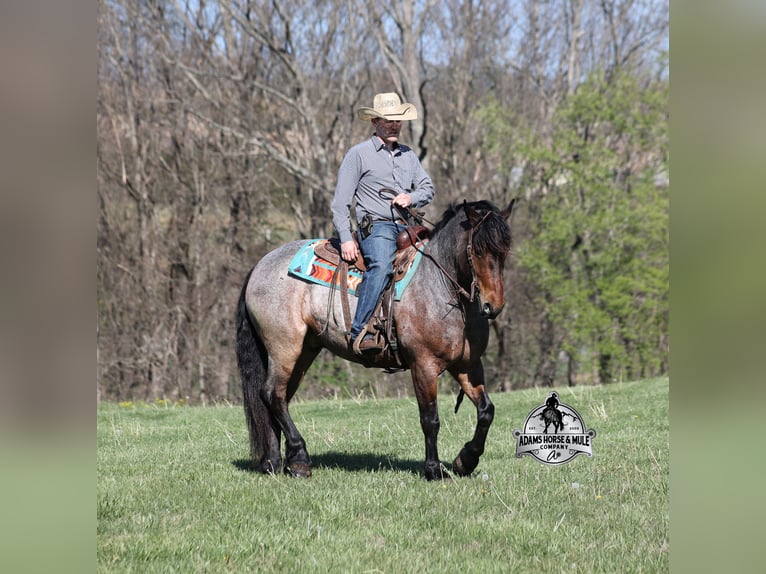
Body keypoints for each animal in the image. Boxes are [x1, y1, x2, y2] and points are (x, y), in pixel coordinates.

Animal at [235, 199, 516, 481]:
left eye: (504, 251)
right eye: (478, 251)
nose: (493, 306)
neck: (439, 287)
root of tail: (259, 266)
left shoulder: (467, 365)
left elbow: (486, 411)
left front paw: (465, 461)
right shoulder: (423, 365)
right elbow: (430, 419)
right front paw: (434, 469)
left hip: (304, 351)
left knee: (278, 398)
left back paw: (275, 462)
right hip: (284, 347)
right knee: (272, 394)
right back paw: (300, 459)